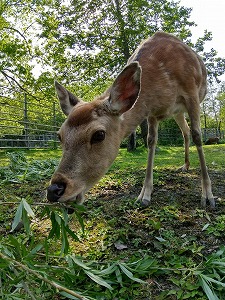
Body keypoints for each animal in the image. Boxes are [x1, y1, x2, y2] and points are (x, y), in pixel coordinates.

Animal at [46, 31, 215, 209]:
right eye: (59, 135)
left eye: (99, 135)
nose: (54, 190)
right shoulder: (152, 112)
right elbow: (151, 141)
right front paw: (144, 195)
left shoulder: (192, 94)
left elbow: (198, 135)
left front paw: (207, 196)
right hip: (177, 112)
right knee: (185, 132)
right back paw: (185, 165)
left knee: (191, 132)